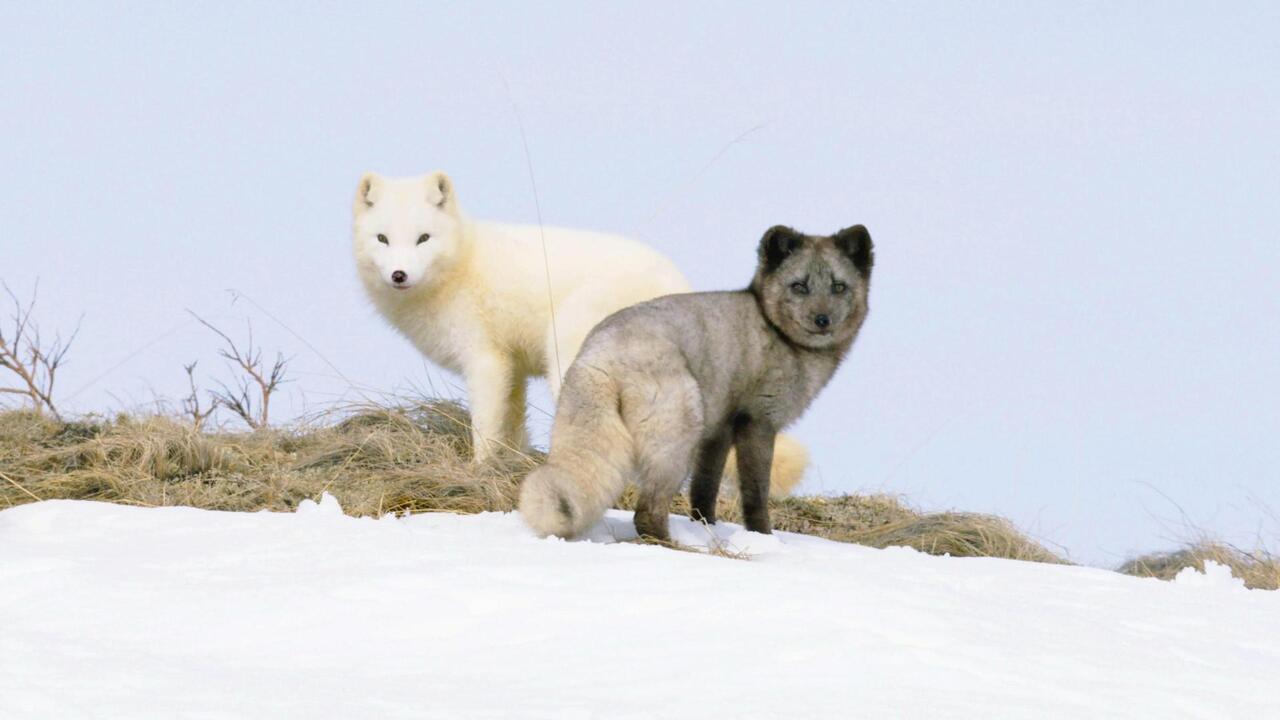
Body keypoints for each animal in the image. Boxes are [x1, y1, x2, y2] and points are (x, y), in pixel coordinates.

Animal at [355, 170, 803, 491]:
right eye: (383, 239)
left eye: (423, 238)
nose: (399, 274)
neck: (461, 264)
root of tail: (677, 282)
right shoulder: (513, 370)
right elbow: (514, 428)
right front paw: (512, 465)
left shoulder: (485, 362)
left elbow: (485, 428)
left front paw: (475, 471)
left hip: (570, 356)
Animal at [517, 224, 870, 538]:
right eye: (799, 286)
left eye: (839, 287)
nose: (822, 320)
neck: (776, 332)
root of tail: (599, 354)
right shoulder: (758, 421)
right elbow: (756, 491)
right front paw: (764, 536)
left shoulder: (720, 428)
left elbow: (705, 486)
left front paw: (706, 525)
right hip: (680, 434)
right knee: (647, 512)